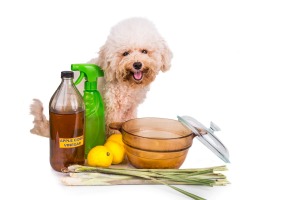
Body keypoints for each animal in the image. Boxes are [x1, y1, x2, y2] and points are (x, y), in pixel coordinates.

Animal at [30, 18, 172, 138]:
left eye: (144, 51)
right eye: (125, 53)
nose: (137, 64)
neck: (126, 84)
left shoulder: (130, 108)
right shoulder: (113, 108)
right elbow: (114, 129)